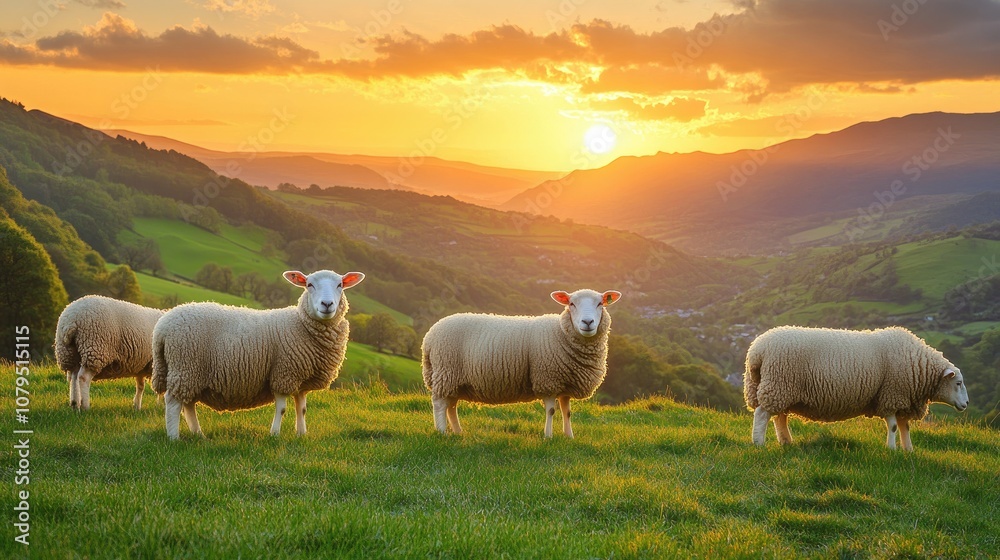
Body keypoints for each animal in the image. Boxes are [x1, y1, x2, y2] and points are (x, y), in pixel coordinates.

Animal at [151, 269, 364, 440]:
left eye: (340, 285)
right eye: (309, 284)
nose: (327, 304)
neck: (301, 324)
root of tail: (161, 327)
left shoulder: (301, 380)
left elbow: (302, 409)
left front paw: (301, 434)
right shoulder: (283, 373)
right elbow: (282, 409)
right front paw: (275, 434)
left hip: (193, 373)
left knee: (188, 405)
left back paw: (198, 434)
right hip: (185, 365)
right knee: (173, 402)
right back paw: (174, 438)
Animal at [421, 288, 621, 438]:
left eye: (600, 303)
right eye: (571, 304)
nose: (587, 322)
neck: (560, 333)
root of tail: (429, 337)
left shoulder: (565, 383)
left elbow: (567, 412)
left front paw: (569, 436)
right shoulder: (547, 378)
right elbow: (551, 411)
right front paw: (548, 437)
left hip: (454, 380)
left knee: (451, 406)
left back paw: (457, 432)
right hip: (446, 371)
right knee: (440, 404)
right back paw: (442, 432)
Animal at [744, 325, 970, 451]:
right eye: (958, 383)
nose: (966, 404)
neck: (919, 368)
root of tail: (756, 351)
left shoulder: (903, 399)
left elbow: (904, 427)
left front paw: (909, 450)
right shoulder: (891, 395)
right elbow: (893, 426)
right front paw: (892, 449)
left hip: (782, 389)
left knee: (779, 417)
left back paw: (786, 442)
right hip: (778, 384)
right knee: (762, 414)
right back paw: (758, 443)